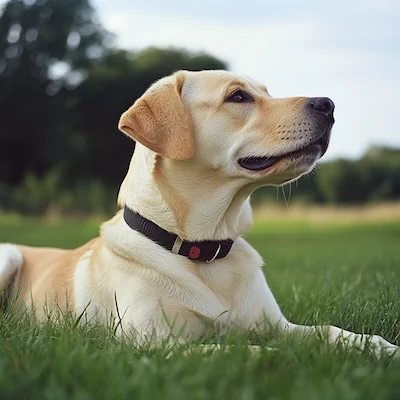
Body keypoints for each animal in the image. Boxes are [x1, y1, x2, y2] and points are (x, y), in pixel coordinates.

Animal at [0, 69, 398, 356]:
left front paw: (381, 349)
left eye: (266, 92)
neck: (204, 247)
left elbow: (331, 332)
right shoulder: (153, 343)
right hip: (9, 255)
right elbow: (244, 351)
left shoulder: (278, 325)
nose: (328, 104)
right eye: (238, 96)